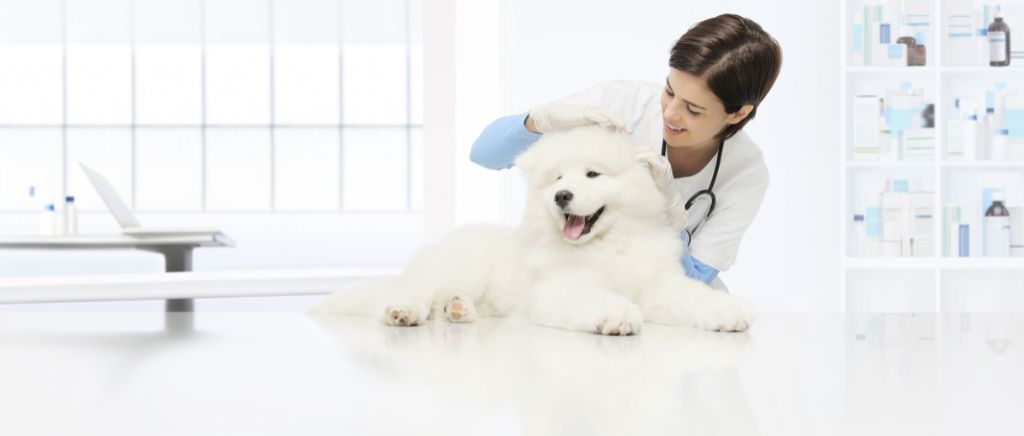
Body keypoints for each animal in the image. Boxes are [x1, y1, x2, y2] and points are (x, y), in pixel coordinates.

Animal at [307, 125, 757, 333]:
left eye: (592, 174)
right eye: (557, 178)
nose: (561, 196)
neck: (610, 245)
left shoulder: (660, 284)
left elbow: (692, 297)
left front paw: (727, 313)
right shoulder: (564, 288)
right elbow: (596, 299)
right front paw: (616, 316)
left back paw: (458, 309)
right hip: (457, 266)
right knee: (414, 293)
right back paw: (404, 312)